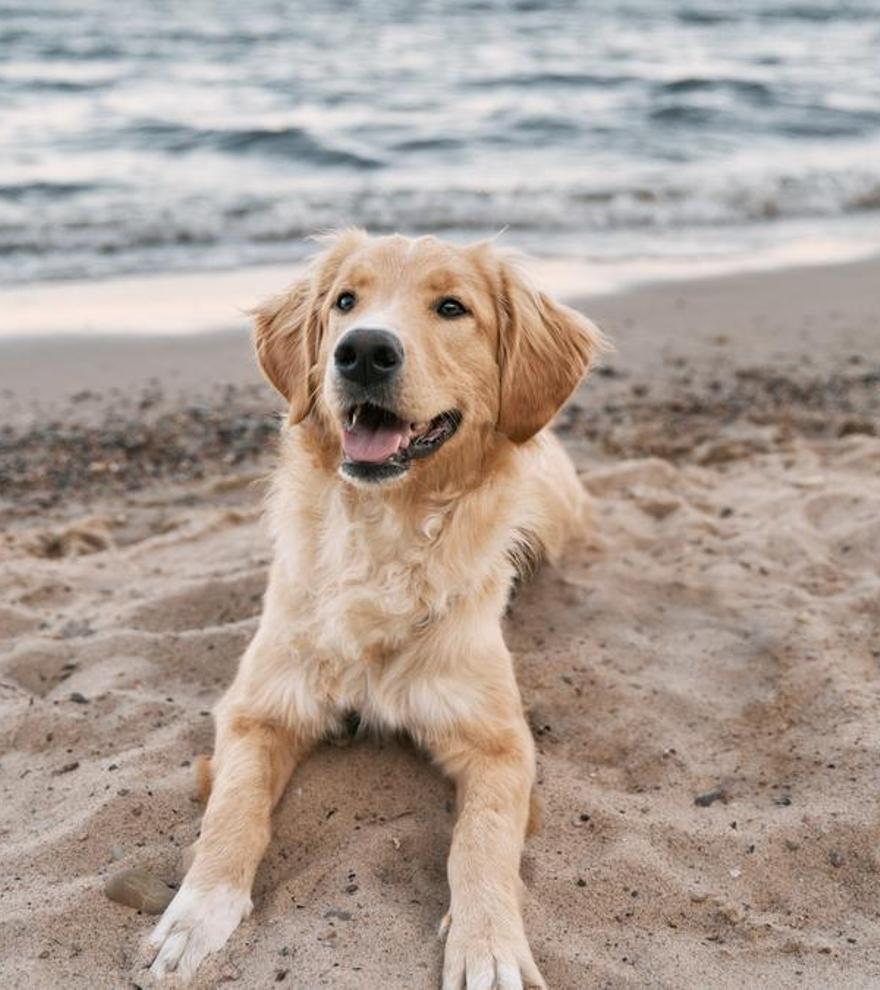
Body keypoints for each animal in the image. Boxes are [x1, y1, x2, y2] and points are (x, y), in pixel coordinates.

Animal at [146, 232, 604, 990]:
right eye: (344, 302)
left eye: (452, 308)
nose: (362, 351)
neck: (384, 533)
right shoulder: (258, 709)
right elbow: (232, 812)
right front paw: (196, 914)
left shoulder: (500, 742)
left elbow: (481, 841)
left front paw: (488, 945)